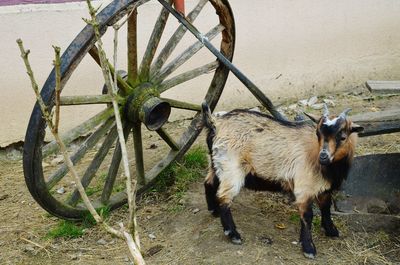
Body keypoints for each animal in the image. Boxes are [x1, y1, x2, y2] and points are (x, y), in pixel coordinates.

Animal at [203, 102, 362, 258]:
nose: (323, 156)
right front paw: (308, 248)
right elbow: (307, 215)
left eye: (343, 136)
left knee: (209, 183)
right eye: (318, 133)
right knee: (224, 198)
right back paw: (233, 234)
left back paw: (214, 210)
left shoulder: (325, 187)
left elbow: (326, 208)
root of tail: (216, 123)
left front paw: (331, 231)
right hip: (231, 168)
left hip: (216, 163)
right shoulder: (304, 186)